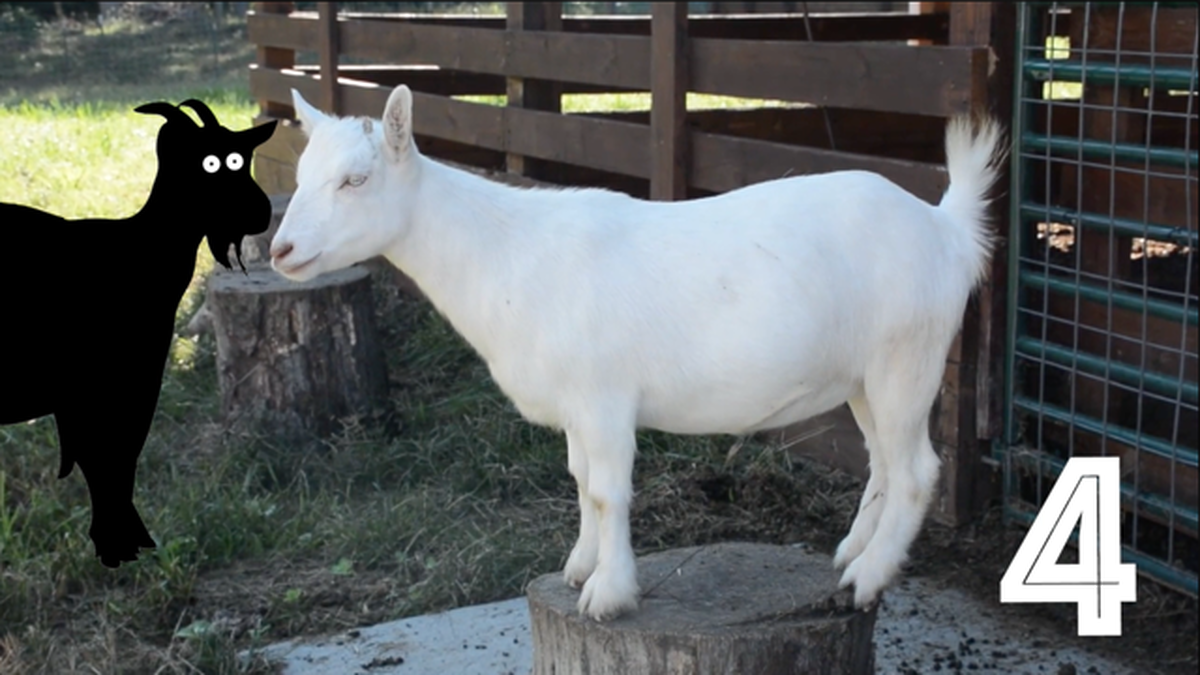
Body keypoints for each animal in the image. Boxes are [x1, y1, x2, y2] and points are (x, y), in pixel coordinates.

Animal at [270, 85, 1006, 621]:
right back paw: (852, 553)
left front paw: (608, 593)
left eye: (356, 179)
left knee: (917, 470)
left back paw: (867, 578)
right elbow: (579, 481)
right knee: (882, 459)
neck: (505, 254)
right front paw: (580, 566)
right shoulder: (575, 406)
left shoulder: (603, 397)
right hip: (864, 374)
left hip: (907, 355)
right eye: (303, 174)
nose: (280, 249)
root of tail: (945, 226)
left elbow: (607, 489)